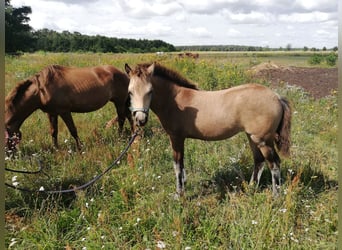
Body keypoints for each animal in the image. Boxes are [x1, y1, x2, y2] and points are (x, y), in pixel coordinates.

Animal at [5, 64, 134, 150]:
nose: (10, 156)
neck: (41, 90)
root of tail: (126, 74)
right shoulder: (51, 113)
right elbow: (53, 132)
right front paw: (56, 149)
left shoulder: (64, 111)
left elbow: (73, 130)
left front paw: (80, 148)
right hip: (122, 102)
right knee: (128, 116)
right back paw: (132, 133)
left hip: (119, 102)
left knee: (122, 118)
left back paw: (119, 137)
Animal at [125, 62, 292, 197]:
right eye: (130, 92)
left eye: (150, 91)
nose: (140, 119)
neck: (175, 100)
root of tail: (277, 97)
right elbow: (181, 165)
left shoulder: (176, 137)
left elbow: (177, 165)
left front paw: (179, 194)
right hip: (252, 137)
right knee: (259, 161)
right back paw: (250, 189)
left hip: (263, 140)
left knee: (274, 164)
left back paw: (275, 196)